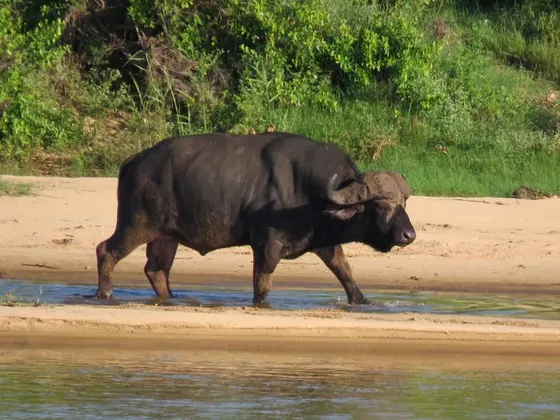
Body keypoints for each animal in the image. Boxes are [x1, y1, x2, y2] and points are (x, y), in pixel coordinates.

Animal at [95, 133, 416, 304]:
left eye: (403, 203)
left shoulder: (325, 242)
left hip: (166, 236)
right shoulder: (267, 246)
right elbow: (262, 286)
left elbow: (346, 274)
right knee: (106, 251)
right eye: (381, 206)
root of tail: (134, 162)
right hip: (136, 225)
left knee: (156, 270)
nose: (409, 235)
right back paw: (105, 293)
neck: (307, 193)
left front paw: (362, 301)